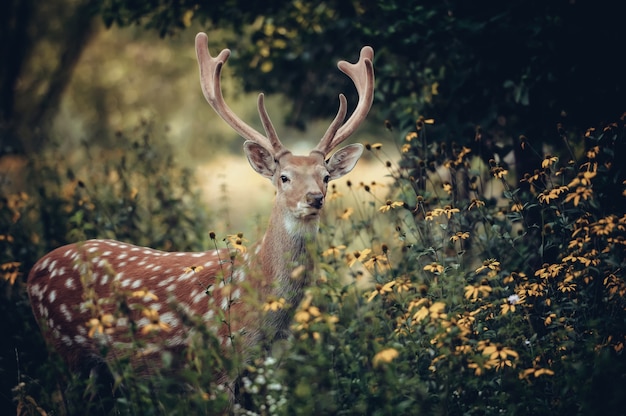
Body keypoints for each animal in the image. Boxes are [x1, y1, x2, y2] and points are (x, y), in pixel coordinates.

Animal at [26, 31, 372, 406]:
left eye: (326, 176)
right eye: (284, 177)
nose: (314, 199)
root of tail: (32, 272)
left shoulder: (264, 369)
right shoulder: (218, 363)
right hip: (63, 349)